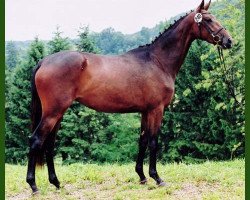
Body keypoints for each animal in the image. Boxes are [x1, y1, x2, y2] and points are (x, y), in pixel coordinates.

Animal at [25, 0, 232, 194]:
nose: (228, 41)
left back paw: (56, 183)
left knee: (49, 144)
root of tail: (44, 61)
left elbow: (142, 140)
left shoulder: (145, 111)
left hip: (58, 113)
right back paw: (34, 186)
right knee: (36, 140)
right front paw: (157, 178)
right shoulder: (157, 109)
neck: (157, 61)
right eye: (208, 20)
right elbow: (153, 141)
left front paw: (142, 176)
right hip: (53, 112)